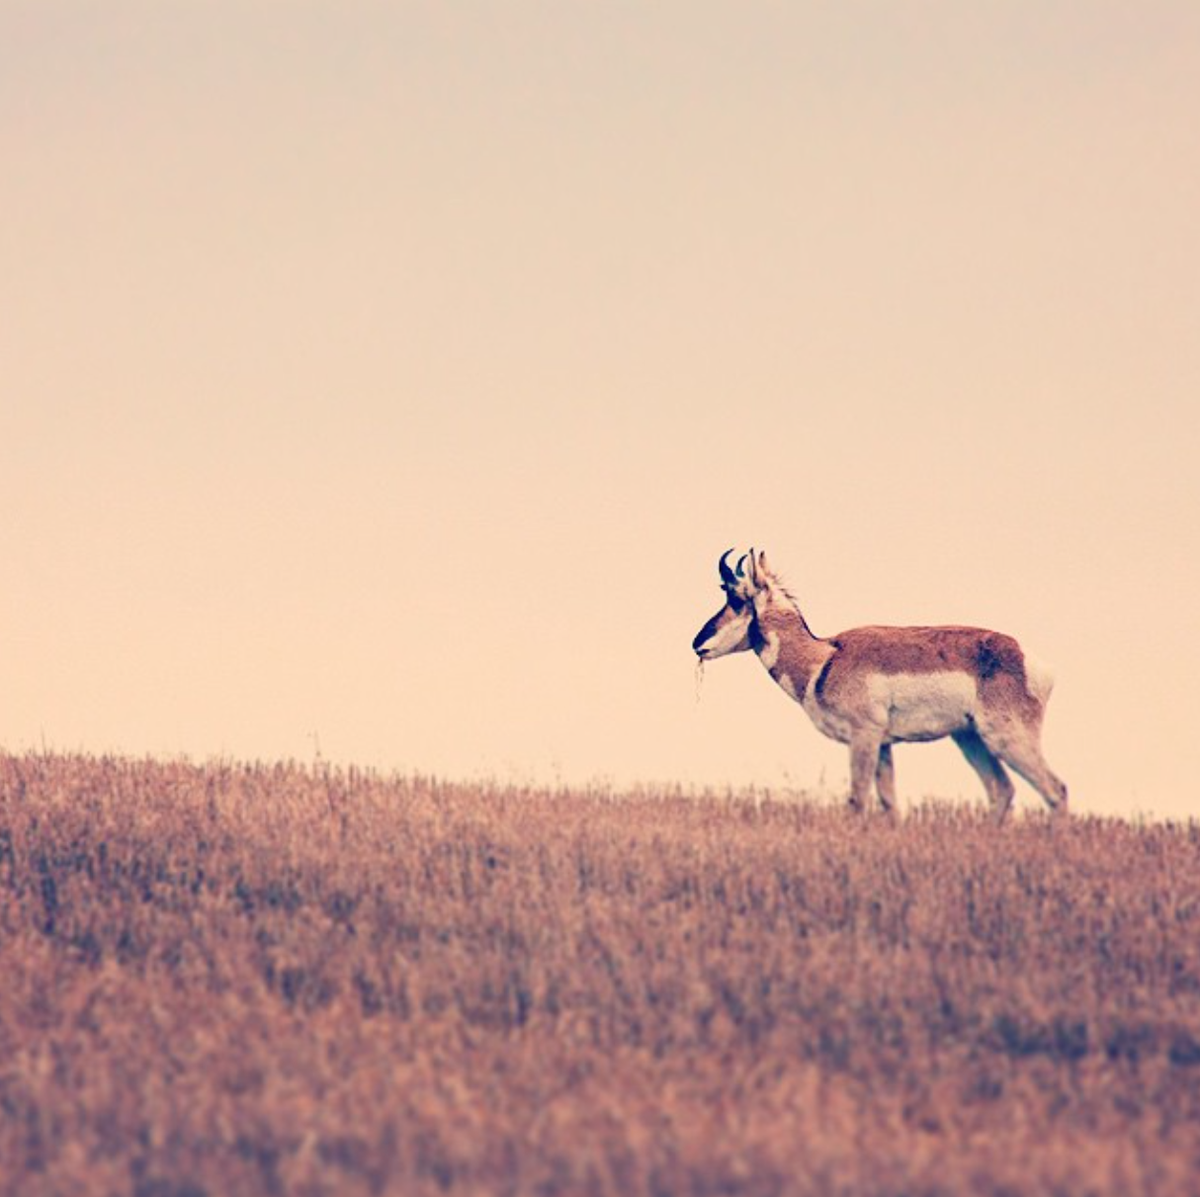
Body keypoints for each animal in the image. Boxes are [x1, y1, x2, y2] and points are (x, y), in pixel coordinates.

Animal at [692, 549, 1067, 819]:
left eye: (736, 598)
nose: (697, 643)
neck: (824, 659)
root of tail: (1031, 660)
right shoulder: (884, 745)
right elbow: (889, 804)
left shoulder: (864, 737)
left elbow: (858, 800)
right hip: (970, 738)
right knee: (1002, 792)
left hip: (1005, 737)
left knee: (1055, 790)